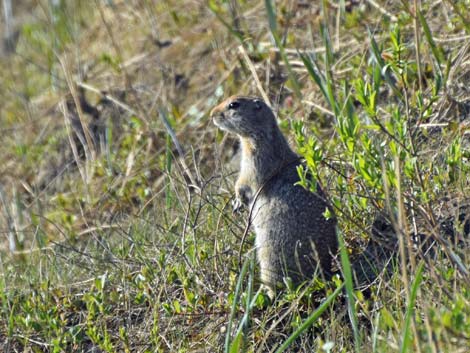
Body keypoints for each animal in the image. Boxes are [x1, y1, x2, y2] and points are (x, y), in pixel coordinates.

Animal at [210, 95, 338, 296]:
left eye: (233, 104)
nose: (211, 114)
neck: (259, 134)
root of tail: (324, 274)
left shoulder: (254, 159)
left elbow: (244, 181)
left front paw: (237, 201)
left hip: (270, 255)